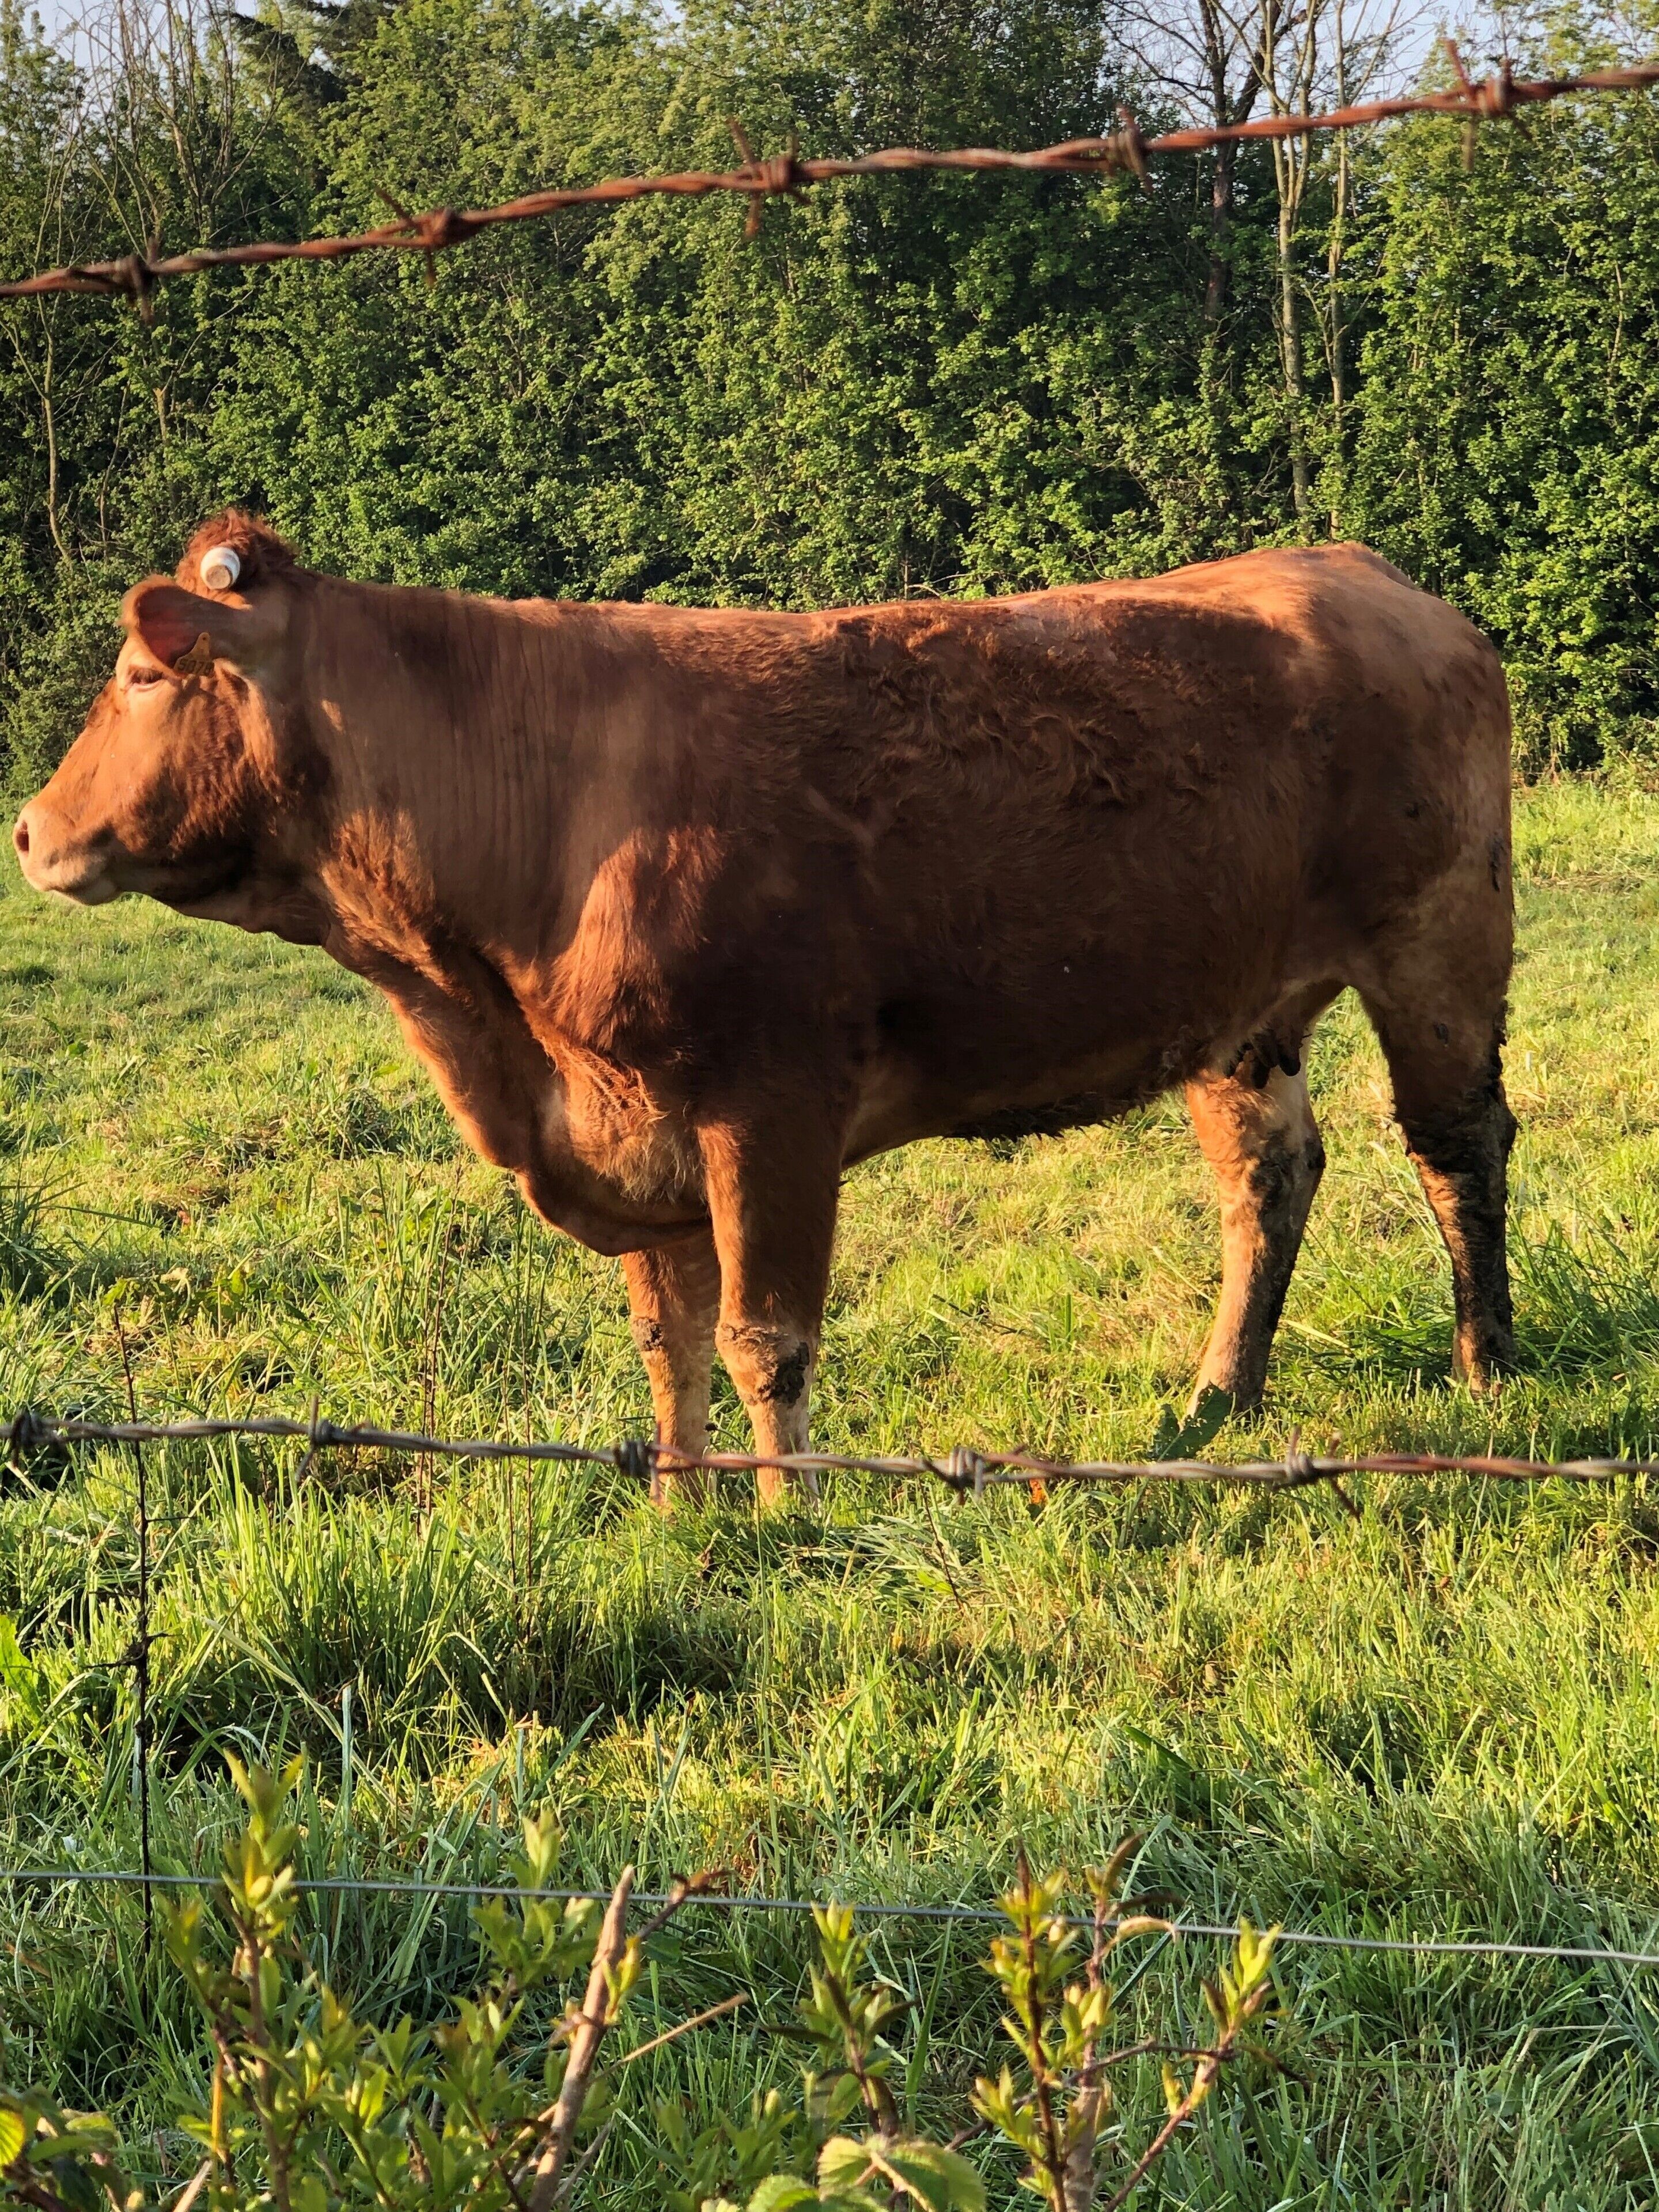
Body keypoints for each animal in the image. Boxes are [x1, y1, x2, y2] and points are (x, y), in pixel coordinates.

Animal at [13, 513, 1517, 1504]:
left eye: (142, 677)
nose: (28, 829)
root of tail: (1355, 571)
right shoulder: (625, 1130)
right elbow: (667, 1337)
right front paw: (682, 1503)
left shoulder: (770, 1104)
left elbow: (762, 1337)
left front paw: (791, 1516)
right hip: (1233, 1002)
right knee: (1269, 1174)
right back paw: (1214, 1398)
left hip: (1440, 939)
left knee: (1458, 1148)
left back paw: (1487, 1368)